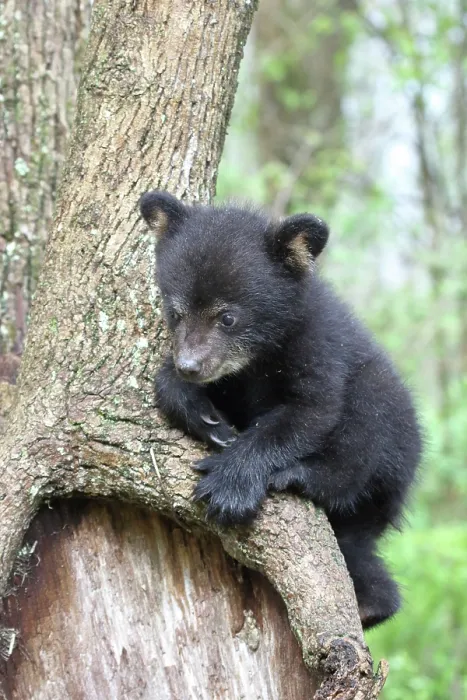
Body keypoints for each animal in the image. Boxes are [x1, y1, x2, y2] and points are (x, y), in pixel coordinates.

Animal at [140, 190, 422, 629]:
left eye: (228, 316)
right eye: (176, 311)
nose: (190, 365)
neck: (259, 358)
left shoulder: (319, 346)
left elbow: (307, 413)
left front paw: (228, 486)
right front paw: (206, 417)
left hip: (387, 426)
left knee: (358, 444)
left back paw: (300, 475)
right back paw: (372, 603)